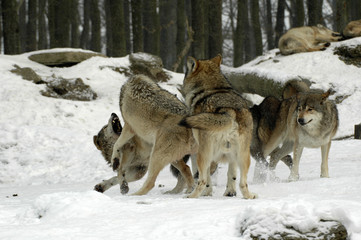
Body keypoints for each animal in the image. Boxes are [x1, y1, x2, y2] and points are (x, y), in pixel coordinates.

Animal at [180, 54, 256, 199]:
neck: (213, 88)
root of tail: (229, 110)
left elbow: (207, 180)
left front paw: (207, 193)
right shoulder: (232, 157)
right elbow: (232, 175)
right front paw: (230, 193)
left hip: (203, 155)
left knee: (202, 180)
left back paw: (191, 196)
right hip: (244, 156)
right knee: (243, 183)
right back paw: (250, 196)